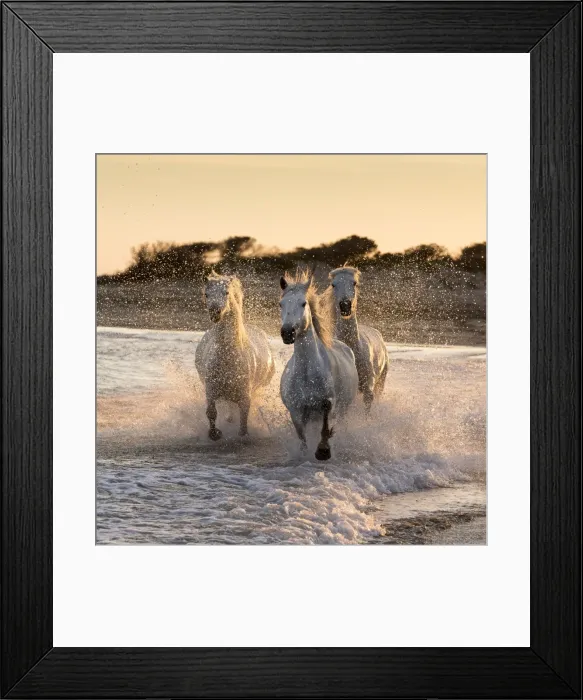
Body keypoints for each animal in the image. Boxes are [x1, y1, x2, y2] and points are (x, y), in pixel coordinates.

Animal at [195, 272, 275, 440]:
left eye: (226, 293)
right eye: (206, 294)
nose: (215, 312)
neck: (229, 358)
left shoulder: (245, 397)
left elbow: (243, 421)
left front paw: (242, 435)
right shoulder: (211, 391)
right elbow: (211, 412)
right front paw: (215, 434)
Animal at [279, 270, 358, 461]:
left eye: (303, 303)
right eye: (281, 304)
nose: (287, 332)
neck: (307, 374)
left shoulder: (329, 403)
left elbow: (325, 423)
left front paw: (323, 450)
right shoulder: (296, 411)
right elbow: (302, 437)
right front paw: (305, 453)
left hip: (344, 409)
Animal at [328, 266, 389, 413]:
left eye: (354, 283)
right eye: (333, 284)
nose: (345, 305)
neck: (354, 349)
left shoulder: (368, 389)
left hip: (381, 382)